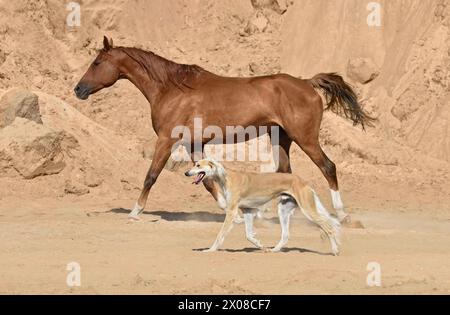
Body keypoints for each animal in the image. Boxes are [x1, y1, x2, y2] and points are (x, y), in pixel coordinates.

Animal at [74, 37, 376, 223]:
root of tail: (307, 83)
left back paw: (342, 215)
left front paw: (135, 211)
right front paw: (236, 213)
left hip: (305, 137)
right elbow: (207, 181)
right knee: (284, 172)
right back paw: (269, 214)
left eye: (97, 63)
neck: (172, 89)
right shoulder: (195, 144)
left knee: (328, 167)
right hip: (281, 138)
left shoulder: (167, 140)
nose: (78, 89)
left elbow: (151, 175)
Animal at [185, 159, 340, 256]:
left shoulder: (231, 212)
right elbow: (249, 235)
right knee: (285, 235)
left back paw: (335, 250)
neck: (226, 178)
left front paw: (210, 250)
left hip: (307, 209)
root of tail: (303, 181)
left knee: (329, 228)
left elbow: (220, 234)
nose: (186, 173)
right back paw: (274, 250)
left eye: (198, 165)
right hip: (283, 210)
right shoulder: (248, 211)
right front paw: (261, 246)